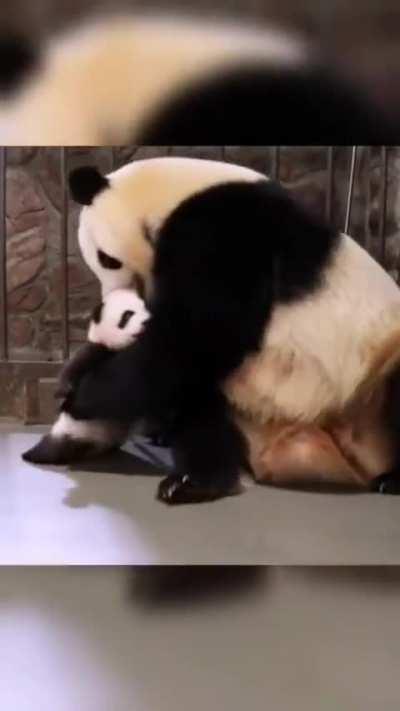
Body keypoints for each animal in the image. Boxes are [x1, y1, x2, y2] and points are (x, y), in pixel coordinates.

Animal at [22, 288, 150, 465]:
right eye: (128, 315)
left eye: (147, 309)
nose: (147, 322)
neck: (118, 348)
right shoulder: (98, 350)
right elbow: (76, 365)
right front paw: (61, 393)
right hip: (74, 430)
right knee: (53, 449)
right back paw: (32, 454)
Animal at [60, 155, 400, 505]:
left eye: (105, 259)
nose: (109, 302)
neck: (167, 194)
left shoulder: (222, 231)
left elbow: (198, 331)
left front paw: (82, 393)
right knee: (199, 398)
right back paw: (194, 482)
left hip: (376, 362)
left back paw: (393, 479)